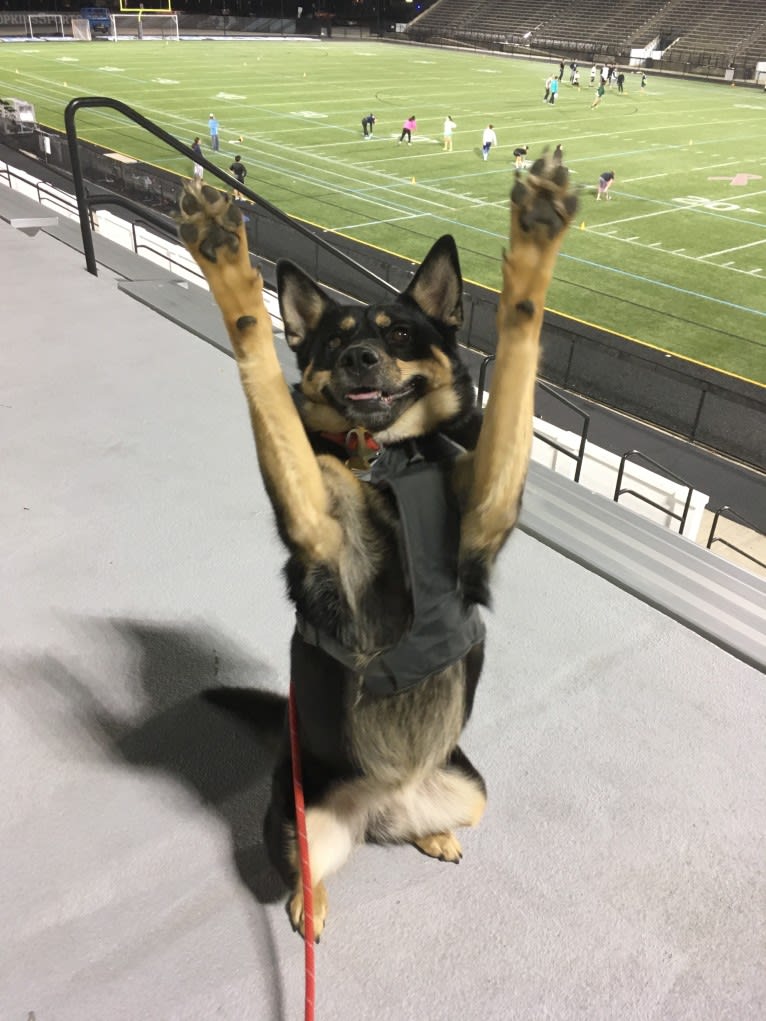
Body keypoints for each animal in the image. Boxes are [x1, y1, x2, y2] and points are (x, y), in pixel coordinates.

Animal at [178, 157, 576, 939]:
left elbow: (517, 363)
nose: (360, 357)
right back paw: (310, 901)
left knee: (416, 824)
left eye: (399, 337)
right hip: (297, 817)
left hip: (470, 788)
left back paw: (432, 832)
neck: (384, 461)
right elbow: (264, 373)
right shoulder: (314, 524)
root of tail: (380, 802)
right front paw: (228, 269)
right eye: (334, 344)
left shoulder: (486, 507)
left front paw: (535, 245)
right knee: (304, 866)